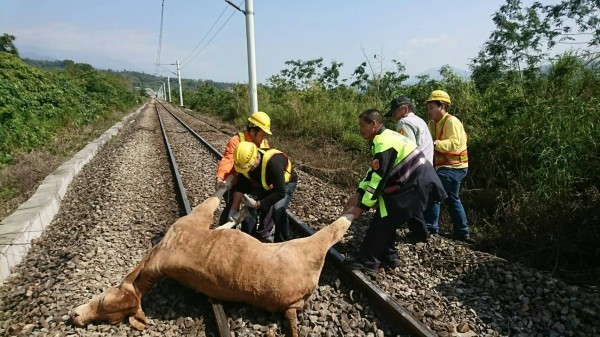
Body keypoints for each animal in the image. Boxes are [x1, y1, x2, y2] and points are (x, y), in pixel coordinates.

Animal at [69, 196, 354, 334]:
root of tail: (292, 306)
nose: (75, 317)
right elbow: (218, 207)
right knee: (337, 228)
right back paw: (356, 204)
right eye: (111, 318)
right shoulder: (191, 221)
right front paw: (239, 207)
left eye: (103, 299)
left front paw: (239, 210)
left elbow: (220, 213)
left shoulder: (193, 222)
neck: (153, 264)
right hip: (308, 247)